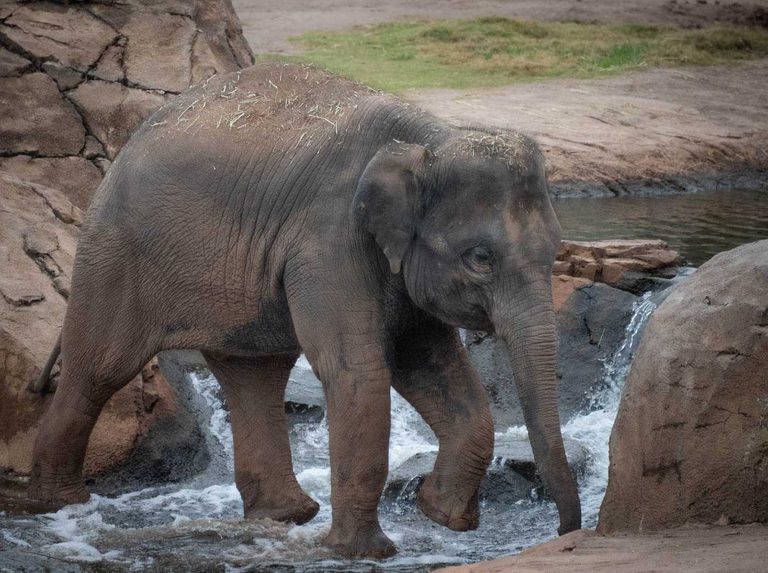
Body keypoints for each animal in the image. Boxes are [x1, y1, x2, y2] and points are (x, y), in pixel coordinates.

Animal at [28, 62, 581, 558]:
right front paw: (364, 554)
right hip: (114, 256)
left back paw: (286, 517)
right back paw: (61, 506)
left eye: (556, 248)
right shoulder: (329, 240)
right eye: (480, 258)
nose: (565, 534)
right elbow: (359, 371)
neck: (430, 139)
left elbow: (429, 364)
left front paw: (439, 516)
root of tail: (122, 150)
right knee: (99, 370)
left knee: (255, 375)